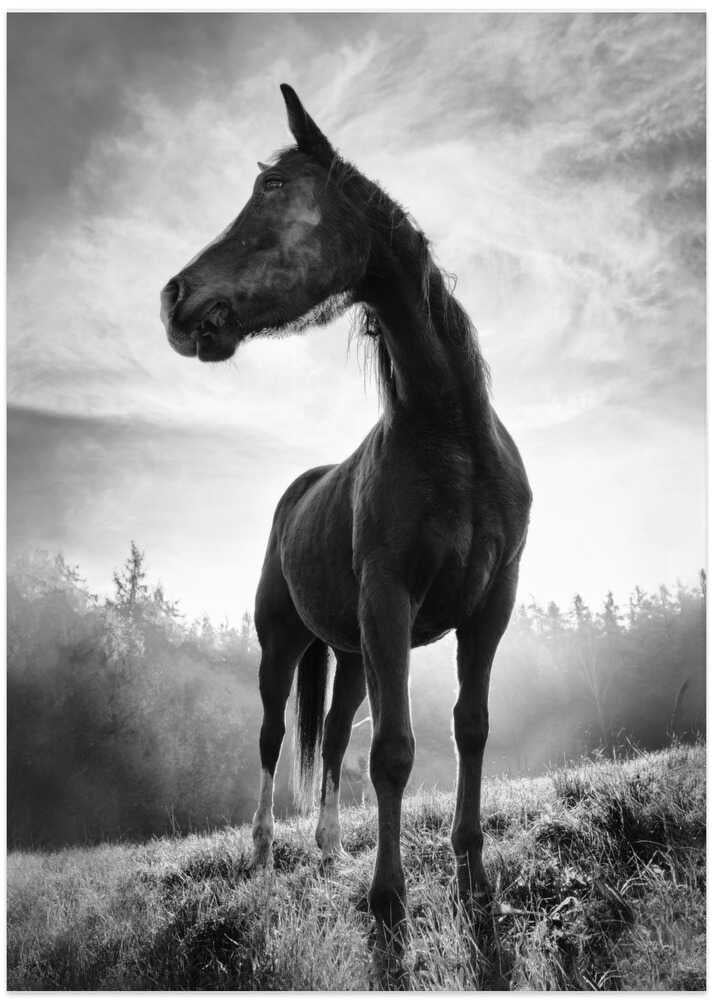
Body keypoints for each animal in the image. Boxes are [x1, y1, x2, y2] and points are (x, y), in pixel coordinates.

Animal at [160, 83, 532, 985]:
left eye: (272, 190)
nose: (176, 298)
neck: (449, 434)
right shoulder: (390, 604)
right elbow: (393, 753)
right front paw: (388, 905)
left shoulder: (489, 608)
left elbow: (468, 728)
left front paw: (472, 879)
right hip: (284, 645)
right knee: (271, 740)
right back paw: (266, 854)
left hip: (354, 653)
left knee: (329, 739)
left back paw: (329, 851)